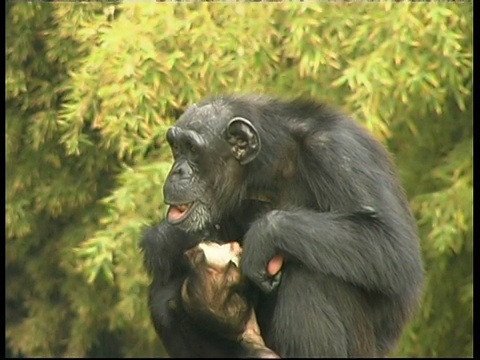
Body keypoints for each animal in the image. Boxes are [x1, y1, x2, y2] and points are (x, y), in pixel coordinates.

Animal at [140, 93, 424, 358]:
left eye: (192, 148)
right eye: (176, 147)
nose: (177, 171)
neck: (268, 164)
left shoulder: (339, 152)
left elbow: (391, 243)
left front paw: (264, 236)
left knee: (312, 275)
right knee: (163, 296)